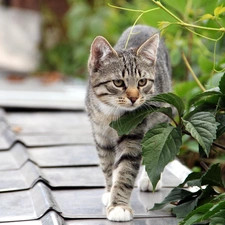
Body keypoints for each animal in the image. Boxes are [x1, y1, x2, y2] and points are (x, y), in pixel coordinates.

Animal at [85, 24, 171, 221]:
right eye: (118, 82)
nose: (133, 98)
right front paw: (110, 192)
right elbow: (107, 165)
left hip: (161, 114)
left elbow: (125, 170)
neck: (111, 114)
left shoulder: (133, 134)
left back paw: (149, 179)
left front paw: (119, 206)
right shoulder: (101, 136)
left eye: (142, 82)